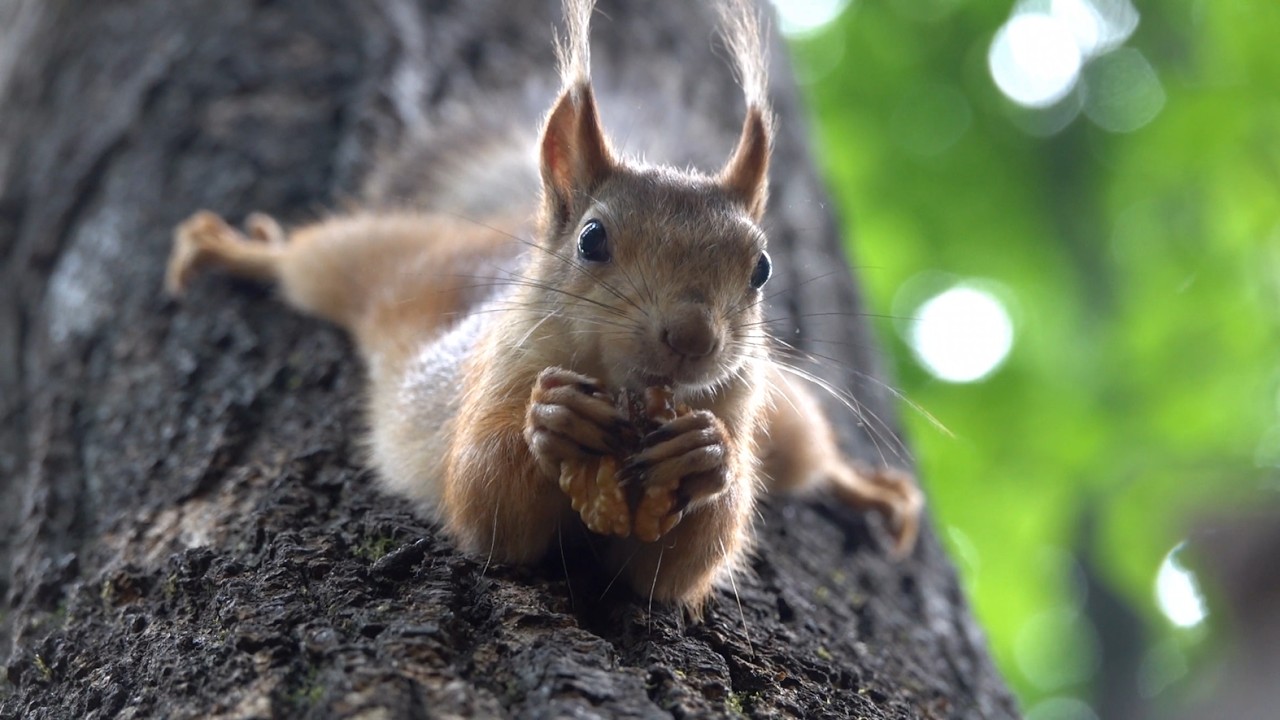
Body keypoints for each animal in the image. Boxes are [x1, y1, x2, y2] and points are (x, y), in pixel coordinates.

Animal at [163, 0, 923, 612]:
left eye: (762, 269)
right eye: (592, 239)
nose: (693, 338)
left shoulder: (737, 399)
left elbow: (676, 569)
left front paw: (705, 458)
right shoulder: (495, 371)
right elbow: (484, 498)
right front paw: (553, 421)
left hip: (784, 409)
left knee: (810, 457)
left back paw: (869, 490)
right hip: (374, 257)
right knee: (307, 262)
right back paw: (238, 251)